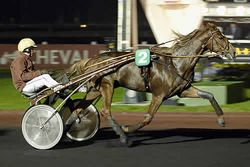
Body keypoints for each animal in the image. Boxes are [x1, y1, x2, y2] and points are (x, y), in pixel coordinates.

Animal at [67, 22, 235, 144]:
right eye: (221, 37)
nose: (233, 51)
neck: (176, 63)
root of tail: (92, 59)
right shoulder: (159, 94)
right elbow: (148, 118)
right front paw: (126, 129)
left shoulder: (183, 90)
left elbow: (209, 95)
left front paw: (221, 120)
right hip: (107, 86)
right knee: (105, 111)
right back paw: (122, 136)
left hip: (95, 90)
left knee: (78, 109)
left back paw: (68, 127)